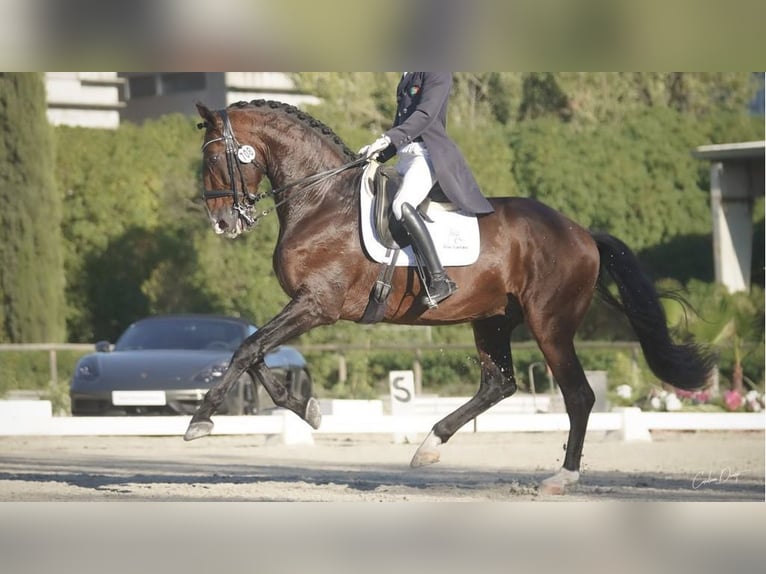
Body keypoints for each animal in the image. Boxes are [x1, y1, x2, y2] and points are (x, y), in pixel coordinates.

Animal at [186, 99, 712, 496]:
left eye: (212, 160)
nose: (223, 223)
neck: (323, 201)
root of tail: (581, 232)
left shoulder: (317, 304)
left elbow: (247, 348)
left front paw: (200, 421)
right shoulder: (305, 305)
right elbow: (254, 351)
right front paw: (304, 408)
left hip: (550, 324)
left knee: (578, 395)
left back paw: (561, 477)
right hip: (493, 319)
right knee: (498, 384)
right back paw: (429, 446)